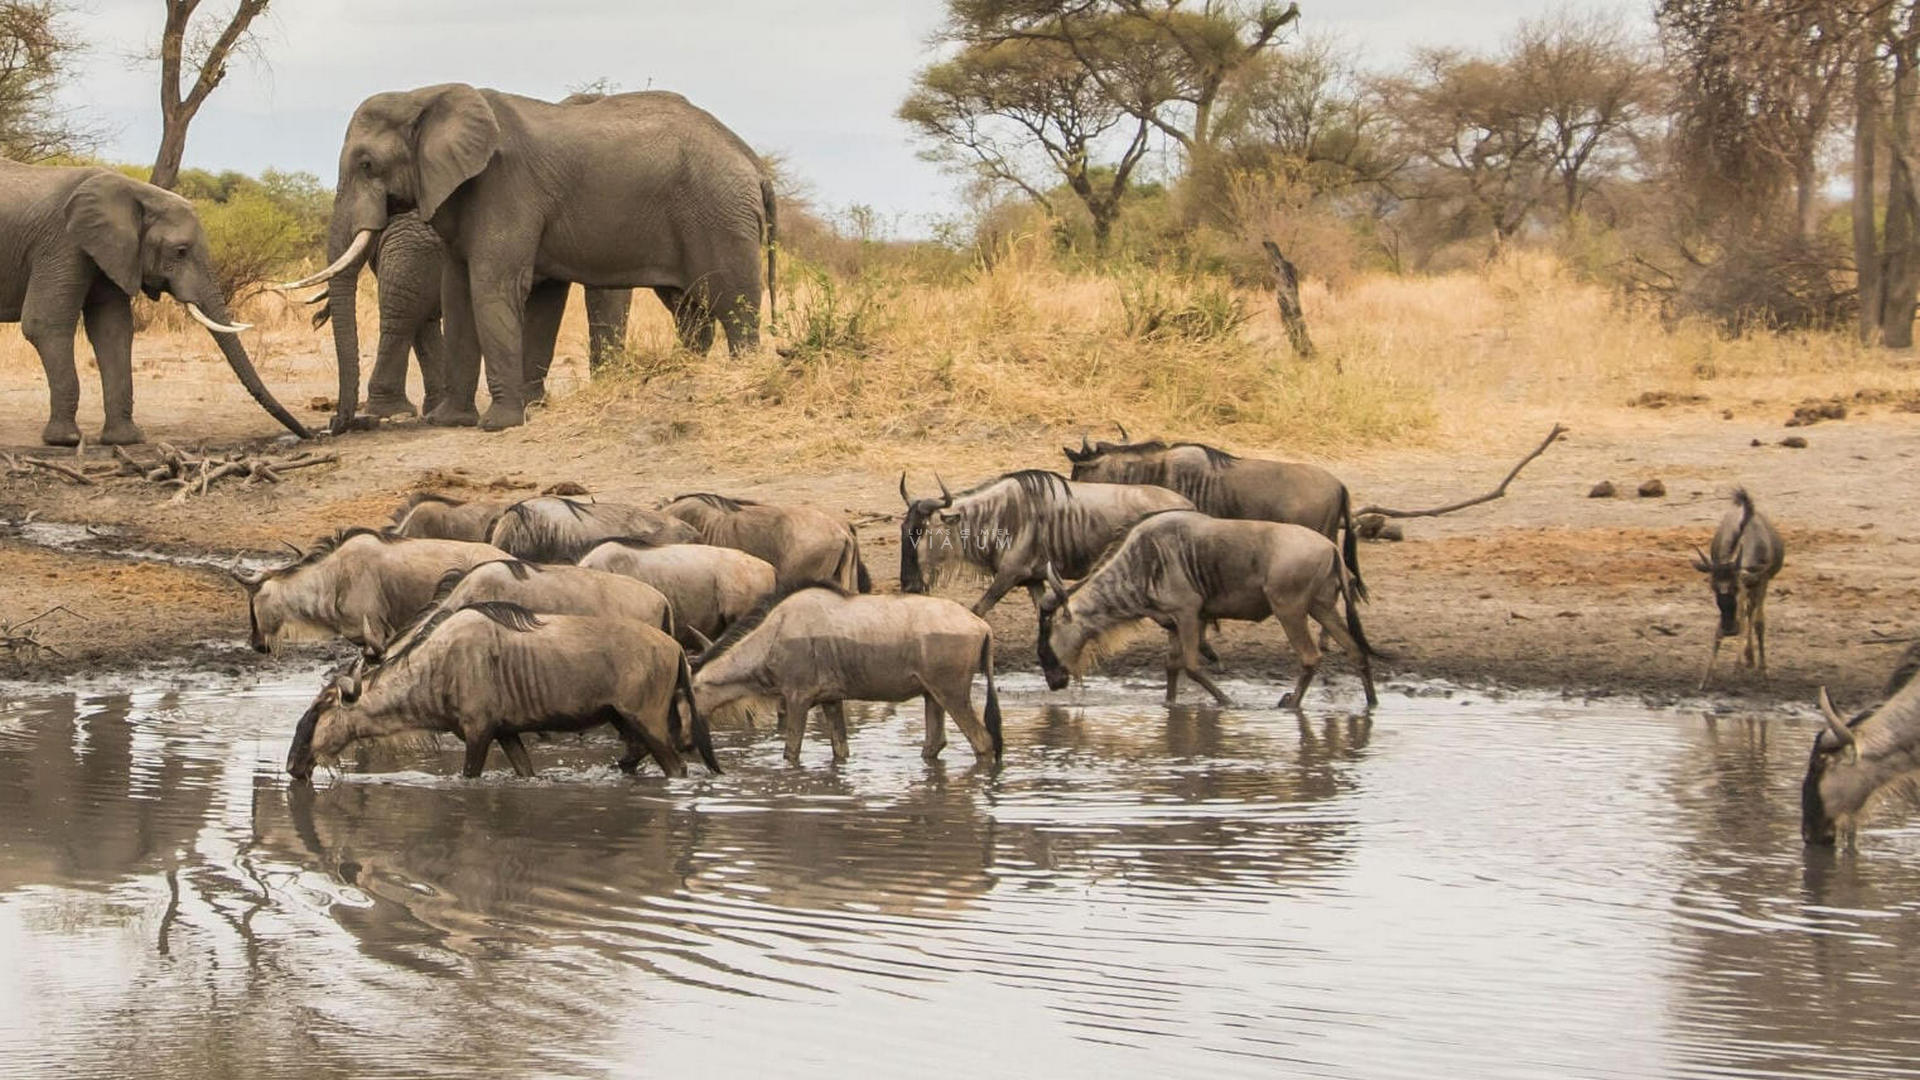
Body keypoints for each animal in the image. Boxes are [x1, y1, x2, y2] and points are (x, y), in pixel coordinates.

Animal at [0, 156, 311, 441]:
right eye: (181, 251)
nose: (308, 434)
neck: (137, 193)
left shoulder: (114, 252)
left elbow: (112, 329)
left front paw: (125, 439)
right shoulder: (63, 244)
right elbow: (45, 324)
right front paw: (64, 440)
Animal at [293, 85, 771, 428]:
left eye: (367, 165)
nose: (337, 424)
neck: (424, 95)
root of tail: (751, 159)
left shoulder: (505, 187)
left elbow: (493, 286)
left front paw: (499, 424)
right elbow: (463, 294)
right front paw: (454, 420)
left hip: (721, 214)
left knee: (735, 304)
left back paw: (742, 377)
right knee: (692, 307)